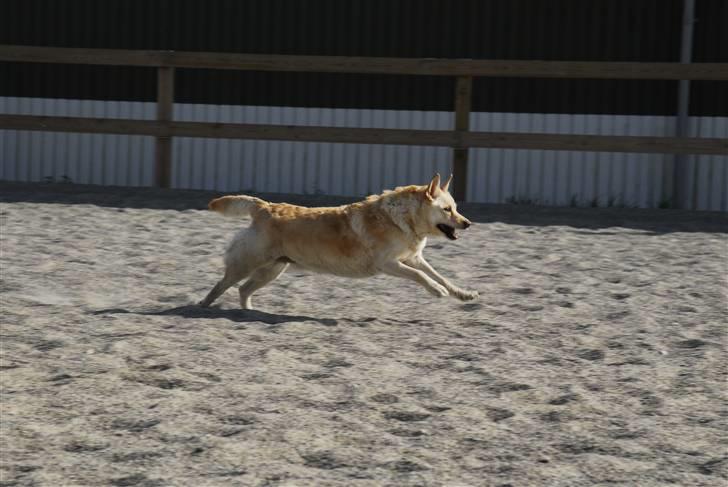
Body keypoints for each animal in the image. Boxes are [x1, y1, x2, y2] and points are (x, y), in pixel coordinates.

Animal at [202, 175, 480, 310]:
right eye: (447, 209)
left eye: (455, 208)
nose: (468, 223)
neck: (403, 219)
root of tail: (264, 207)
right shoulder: (389, 264)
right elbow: (421, 277)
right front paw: (437, 291)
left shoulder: (413, 258)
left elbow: (438, 275)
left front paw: (462, 293)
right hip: (249, 263)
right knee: (221, 284)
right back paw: (202, 306)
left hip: (272, 269)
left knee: (243, 289)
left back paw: (248, 311)